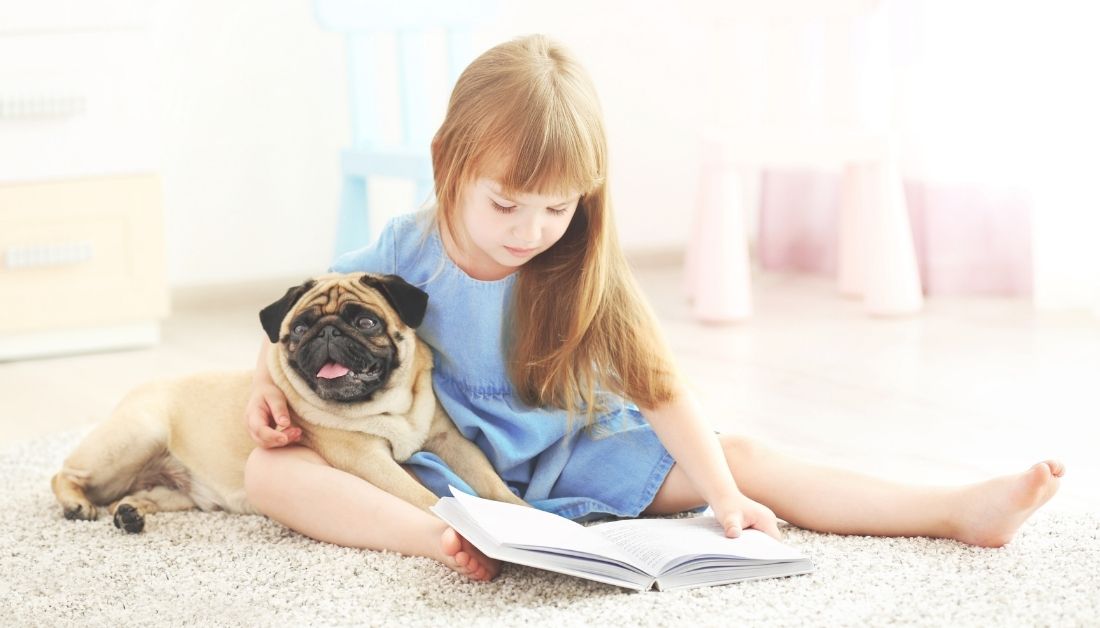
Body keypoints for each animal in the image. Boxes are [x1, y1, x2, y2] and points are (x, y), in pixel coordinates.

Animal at [52, 272, 528, 532]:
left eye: (366, 322)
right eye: (299, 329)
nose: (328, 332)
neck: (388, 406)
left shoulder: (451, 442)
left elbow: (490, 483)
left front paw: (522, 513)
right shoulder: (368, 460)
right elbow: (422, 495)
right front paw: (464, 519)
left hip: (177, 490)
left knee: (135, 495)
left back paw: (130, 513)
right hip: (136, 437)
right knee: (64, 474)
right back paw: (77, 503)